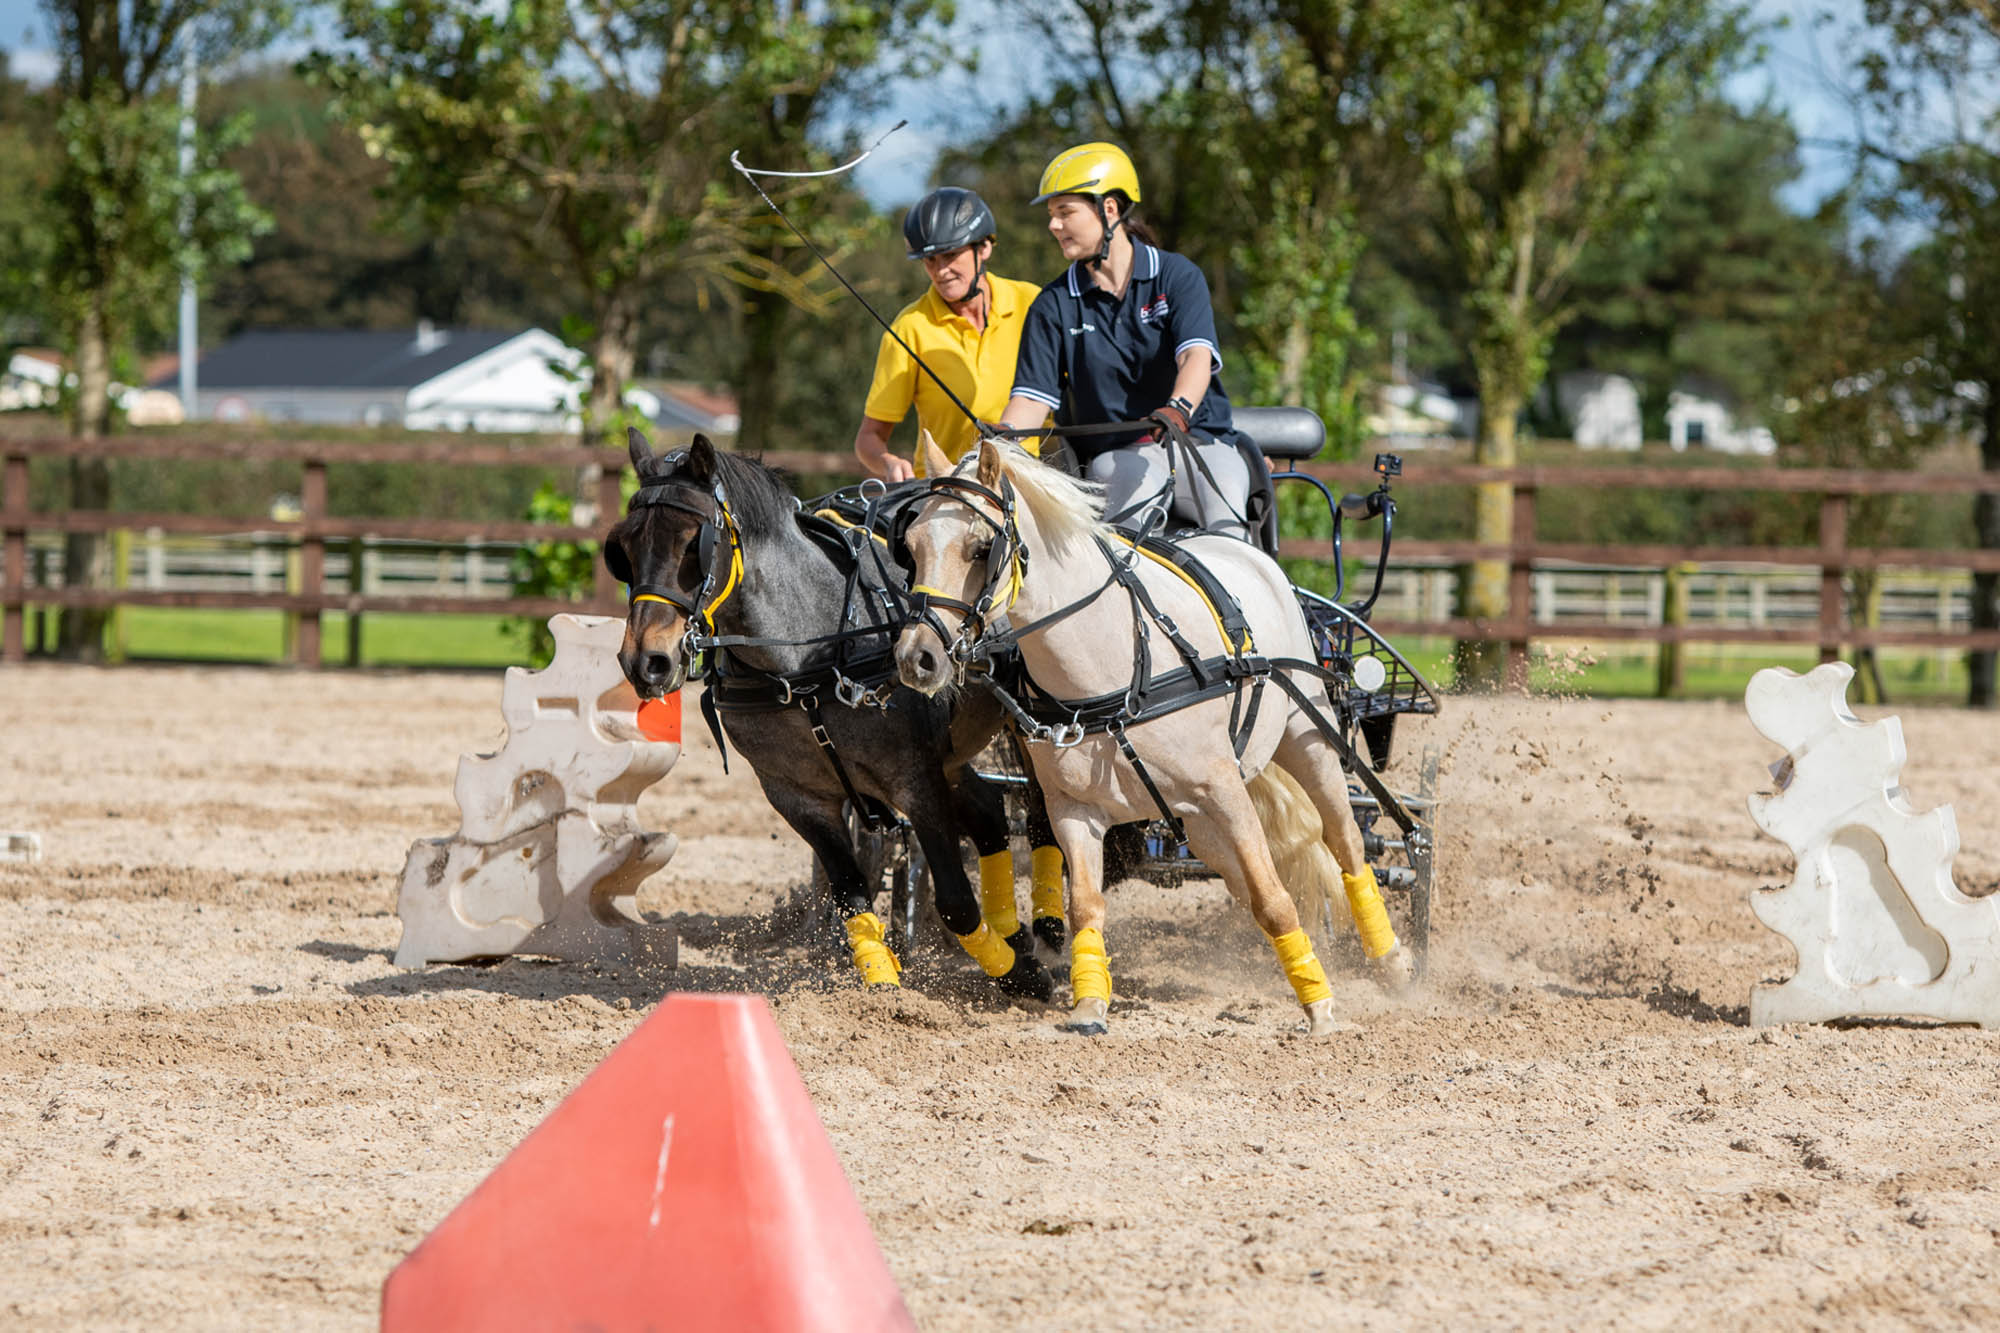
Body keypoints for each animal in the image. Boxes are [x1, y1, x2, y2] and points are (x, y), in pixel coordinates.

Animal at [596, 430, 1056, 1000]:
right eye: (624, 548)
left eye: (693, 544)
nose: (646, 661)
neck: (805, 663)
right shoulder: (796, 795)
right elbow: (850, 892)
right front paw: (881, 982)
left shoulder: (915, 778)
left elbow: (954, 898)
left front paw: (1017, 973)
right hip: (949, 756)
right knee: (990, 812)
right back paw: (1016, 940)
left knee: (1039, 821)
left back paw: (1046, 936)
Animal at [900, 438, 1416, 1040]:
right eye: (910, 546)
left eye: (980, 548)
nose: (916, 657)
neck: (1113, 667)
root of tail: (1244, 550)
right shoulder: (1073, 809)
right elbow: (1087, 905)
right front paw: (1089, 1005)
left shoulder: (1224, 790)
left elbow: (1275, 897)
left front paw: (1321, 1006)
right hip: (1196, 821)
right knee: (1241, 876)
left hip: (1305, 735)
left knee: (1346, 843)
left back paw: (1390, 961)